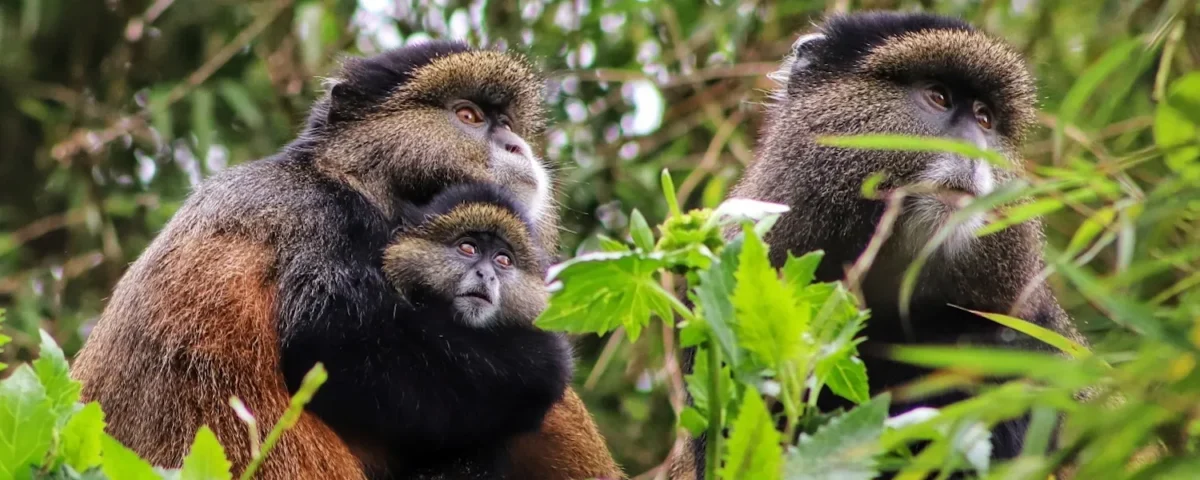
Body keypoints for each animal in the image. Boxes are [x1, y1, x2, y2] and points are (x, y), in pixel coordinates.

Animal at [70, 40, 620, 480]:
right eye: (469, 116)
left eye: (505, 122)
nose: (515, 145)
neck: (345, 175)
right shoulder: (320, 222)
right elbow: (334, 341)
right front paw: (548, 360)